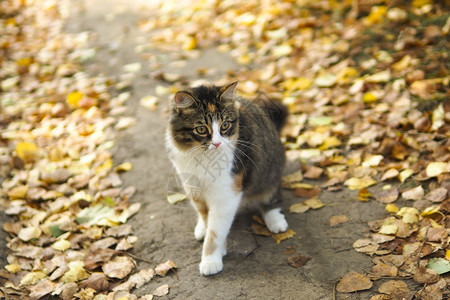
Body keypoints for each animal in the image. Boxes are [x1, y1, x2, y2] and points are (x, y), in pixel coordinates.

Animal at [165, 82, 288, 276]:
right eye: (201, 129)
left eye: (225, 125)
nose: (217, 143)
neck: (202, 157)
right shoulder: (194, 187)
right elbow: (208, 221)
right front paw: (216, 245)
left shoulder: (227, 192)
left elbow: (215, 232)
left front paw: (210, 260)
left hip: (269, 171)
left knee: (271, 197)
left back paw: (275, 220)